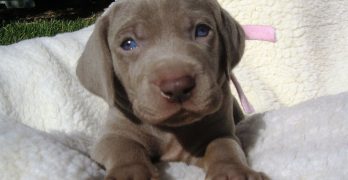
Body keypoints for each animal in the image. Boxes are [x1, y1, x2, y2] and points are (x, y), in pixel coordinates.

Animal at [76, 0, 266, 179]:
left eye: (202, 31)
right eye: (128, 44)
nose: (177, 87)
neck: (172, 129)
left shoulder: (220, 131)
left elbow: (223, 146)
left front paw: (232, 172)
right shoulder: (111, 135)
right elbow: (123, 148)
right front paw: (131, 174)